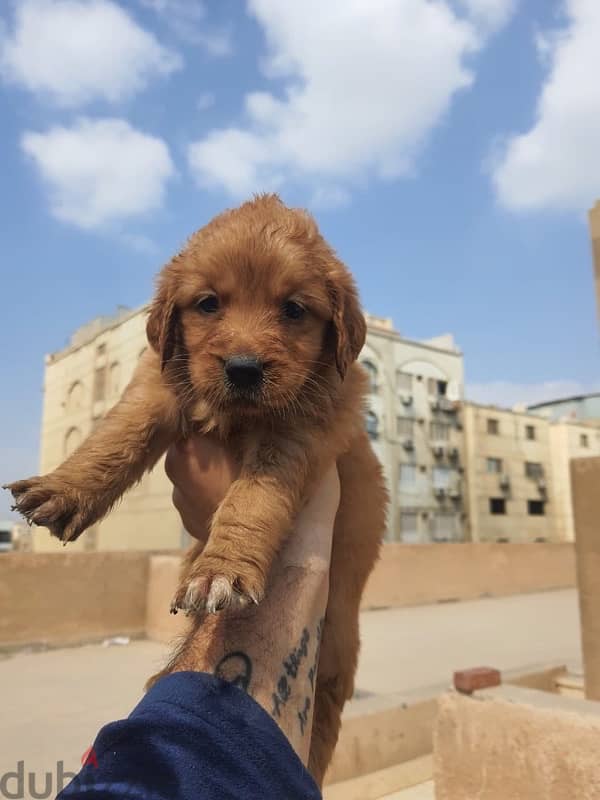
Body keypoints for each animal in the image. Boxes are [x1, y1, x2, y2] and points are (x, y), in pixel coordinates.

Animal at [7, 197, 386, 784]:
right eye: (208, 303)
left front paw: (220, 570)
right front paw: (64, 487)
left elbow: (252, 499)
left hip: (335, 653)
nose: (244, 369)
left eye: (294, 309)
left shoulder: (302, 431)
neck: (236, 415)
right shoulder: (159, 383)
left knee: (320, 727)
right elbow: (118, 433)